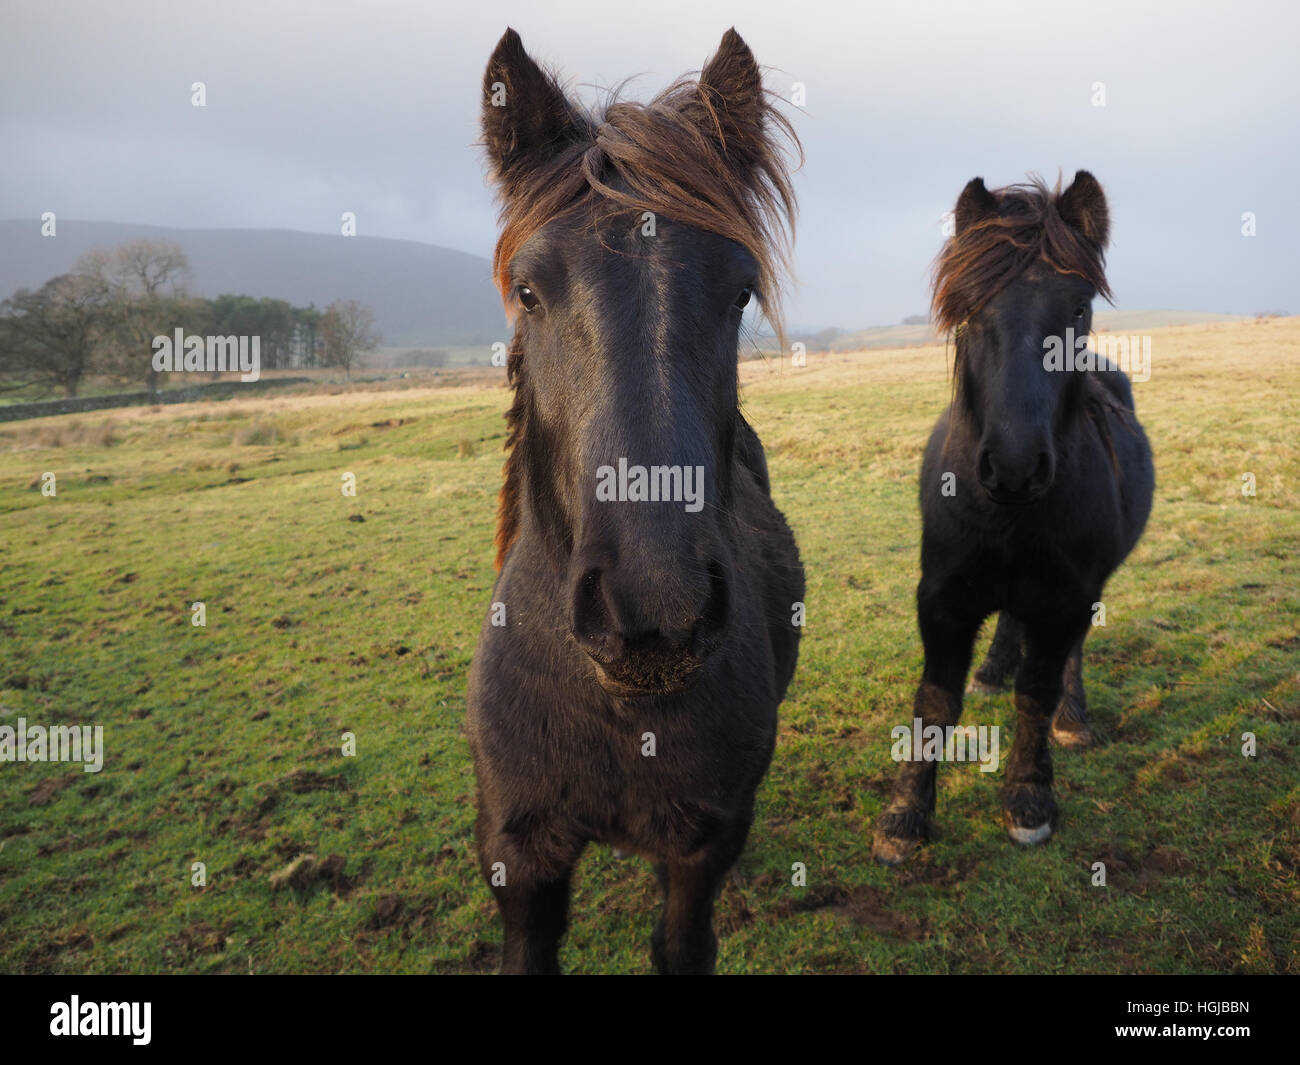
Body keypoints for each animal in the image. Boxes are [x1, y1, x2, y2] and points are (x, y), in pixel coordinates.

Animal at [873, 169, 1159, 868]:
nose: (1014, 466)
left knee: (1069, 655)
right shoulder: (942, 597)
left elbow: (1038, 690)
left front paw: (1030, 797)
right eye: (970, 310)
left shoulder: (1065, 597)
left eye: (1079, 310)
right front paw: (905, 815)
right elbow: (934, 701)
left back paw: (1073, 717)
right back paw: (992, 668)